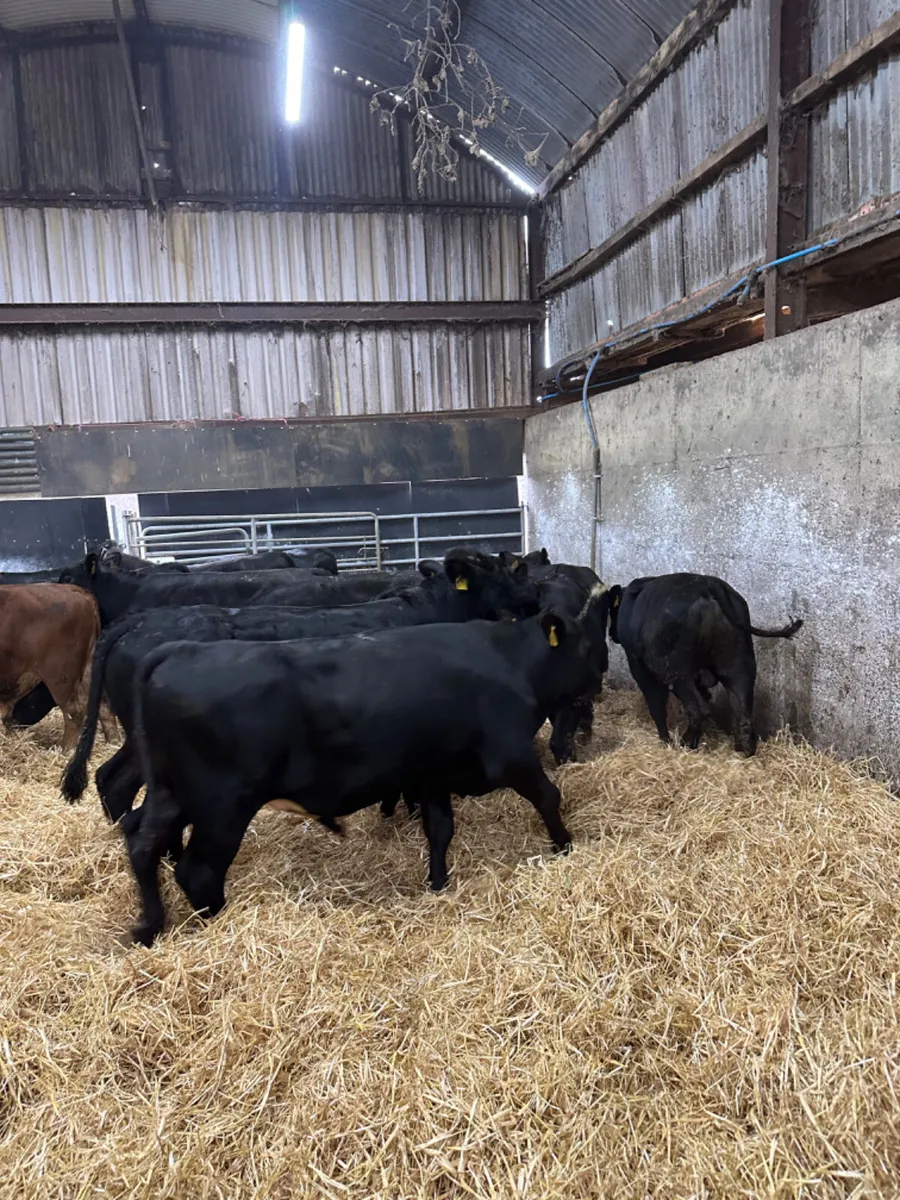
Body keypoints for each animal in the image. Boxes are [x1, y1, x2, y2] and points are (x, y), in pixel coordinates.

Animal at [0, 584, 107, 751]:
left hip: (60, 678)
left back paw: (65, 751)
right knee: (102, 706)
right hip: (88, 669)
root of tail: (76, 590)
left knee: (74, 714)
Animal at [122, 585, 610, 945]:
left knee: (141, 842)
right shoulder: (510, 755)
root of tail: (178, 651)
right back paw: (218, 921)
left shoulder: (432, 772)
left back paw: (150, 926)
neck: (510, 662)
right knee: (197, 870)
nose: (602, 675)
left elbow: (440, 829)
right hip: (222, 807)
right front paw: (564, 845)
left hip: (171, 795)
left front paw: (437, 882)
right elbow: (548, 795)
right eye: (586, 644)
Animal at [608, 573, 802, 755]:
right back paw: (743, 750)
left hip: (677, 673)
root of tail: (708, 584)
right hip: (738, 664)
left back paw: (686, 743)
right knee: (742, 709)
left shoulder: (638, 665)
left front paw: (665, 741)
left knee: (699, 709)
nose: (611, 634)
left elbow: (656, 704)